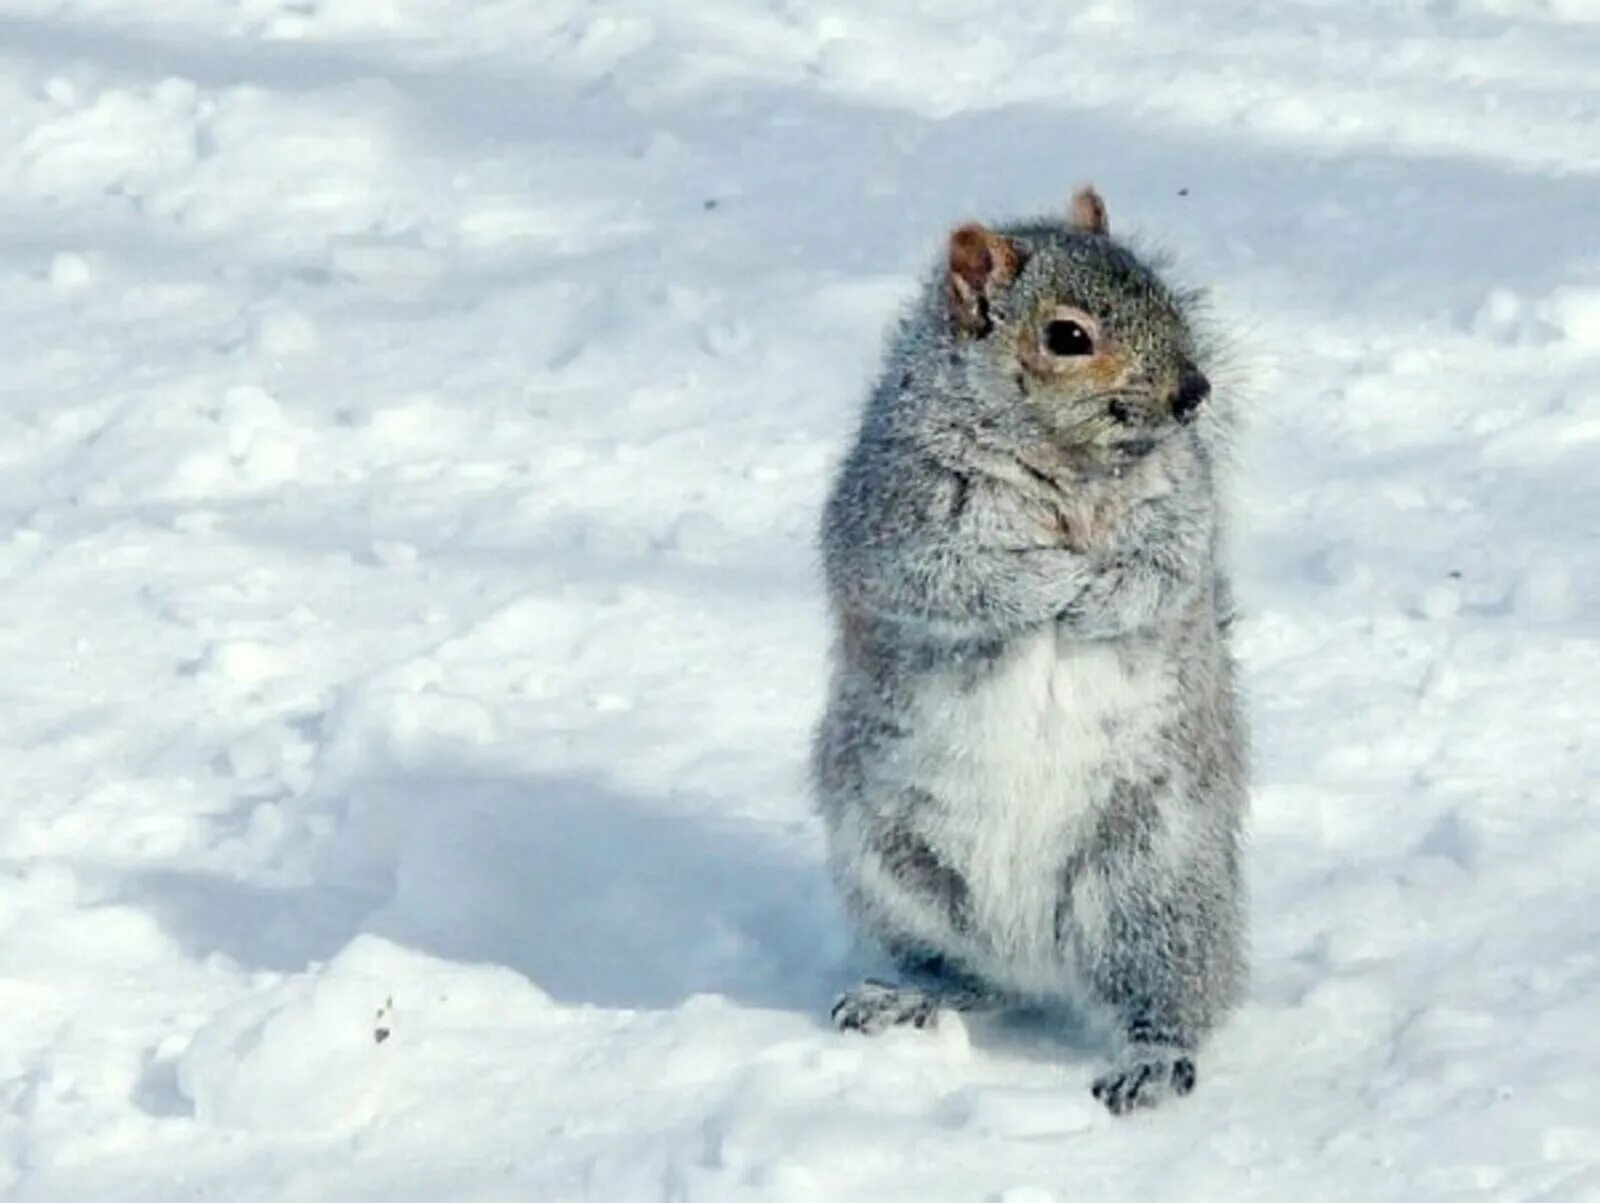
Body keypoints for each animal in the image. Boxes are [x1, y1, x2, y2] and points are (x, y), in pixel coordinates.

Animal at [812, 187, 1248, 1119]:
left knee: (1165, 996)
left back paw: (1151, 1058)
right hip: (894, 871)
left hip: (1156, 882)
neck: (1071, 468)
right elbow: (951, 577)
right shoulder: (895, 519)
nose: (1192, 392)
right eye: (1067, 336)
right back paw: (907, 996)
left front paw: (1104, 591)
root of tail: (1039, 963)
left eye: (1164, 294)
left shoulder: (1183, 515)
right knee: (972, 977)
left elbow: (1167, 569)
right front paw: (1052, 579)